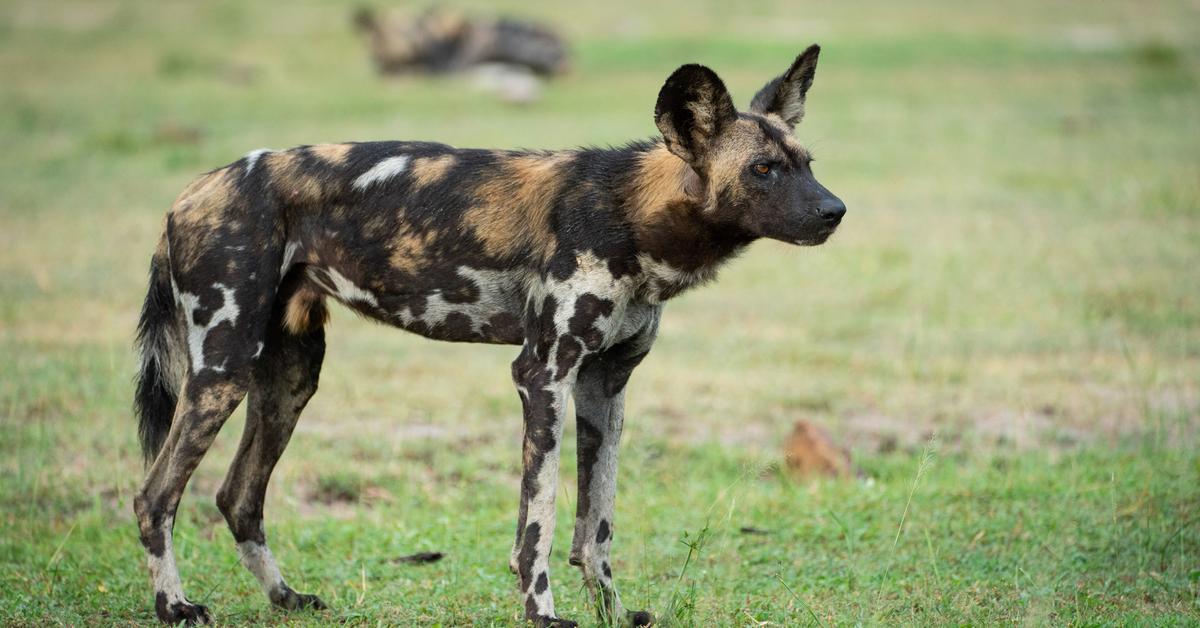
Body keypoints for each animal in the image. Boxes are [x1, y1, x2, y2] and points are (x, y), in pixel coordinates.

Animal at [131, 45, 844, 628]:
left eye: (807, 163)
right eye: (762, 170)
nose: (835, 211)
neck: (631, 216)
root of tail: (191, 191)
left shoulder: (605, 388)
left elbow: (596, 526)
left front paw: (614, 613)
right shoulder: (543, 376)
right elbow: (541, 519)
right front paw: (543, 614)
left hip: (288, 380)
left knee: (238, 497)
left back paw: (285, 599)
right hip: (221, 372)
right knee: (154, 496)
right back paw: (175, 607)